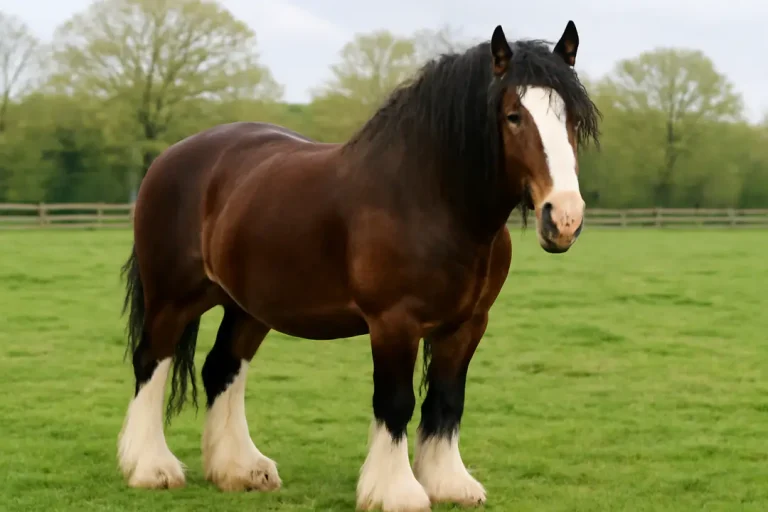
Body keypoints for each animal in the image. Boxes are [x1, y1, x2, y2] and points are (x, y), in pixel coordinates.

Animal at [117, 20, 600, 512]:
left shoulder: (467, 325)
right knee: (151, 362)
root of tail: (170, 157)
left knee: (222, 367)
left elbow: (447, 400)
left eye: (573, 118)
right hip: (171, 298)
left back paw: (240, 469)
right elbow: (396, 402)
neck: (430, 198)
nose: (563, 218)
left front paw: (449, 483)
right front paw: (395, 491)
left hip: (248, 306)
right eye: (514, 116)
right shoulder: (394, 323)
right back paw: (151, 468)